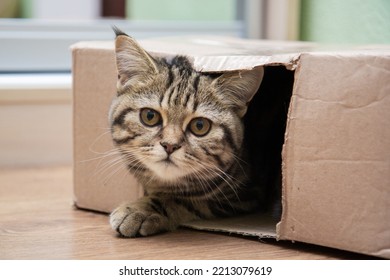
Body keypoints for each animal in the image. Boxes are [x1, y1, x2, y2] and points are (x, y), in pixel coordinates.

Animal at [108, 28, 266, 237]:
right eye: (149, 116)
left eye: (200, 126)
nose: (170, 145)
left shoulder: (246, 195)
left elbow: (182, 199)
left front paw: (140, 209)